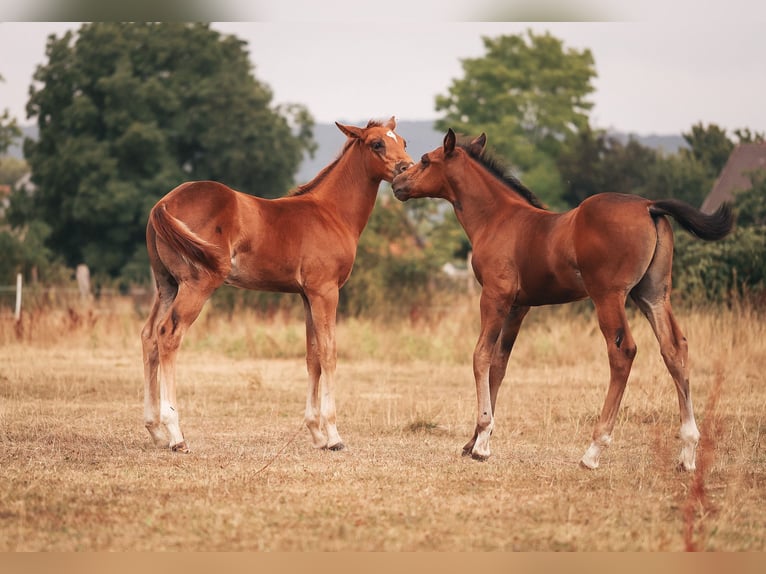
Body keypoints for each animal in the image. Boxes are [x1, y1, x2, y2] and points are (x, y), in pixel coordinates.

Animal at [141, 117, 413, 453]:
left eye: (403, 141)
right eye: (377, 143)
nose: (407, 170)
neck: (330, 213)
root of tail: (164, 203)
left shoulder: (307, 295)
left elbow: (312, 356)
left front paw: (317, 434)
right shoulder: (326, 292)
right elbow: (329, 352)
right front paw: (333, 435)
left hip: (166, 286)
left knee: (150, 336)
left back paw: (155, 431)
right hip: (196, 285)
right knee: (168, 335)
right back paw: (176, 435)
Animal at [391, 128, 734, 471]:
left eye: (426, 160)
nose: (397, 182)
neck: (497, 219)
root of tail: (650, 206)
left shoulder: (494, 297)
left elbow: (481, 357)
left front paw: (482, 444)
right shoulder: (518, 307)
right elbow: (499, 365)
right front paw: (475, 440)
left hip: (608, 296)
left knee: (623, 352)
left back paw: (594, 450)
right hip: (652, 294)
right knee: (674, 348)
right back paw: (688, 451)